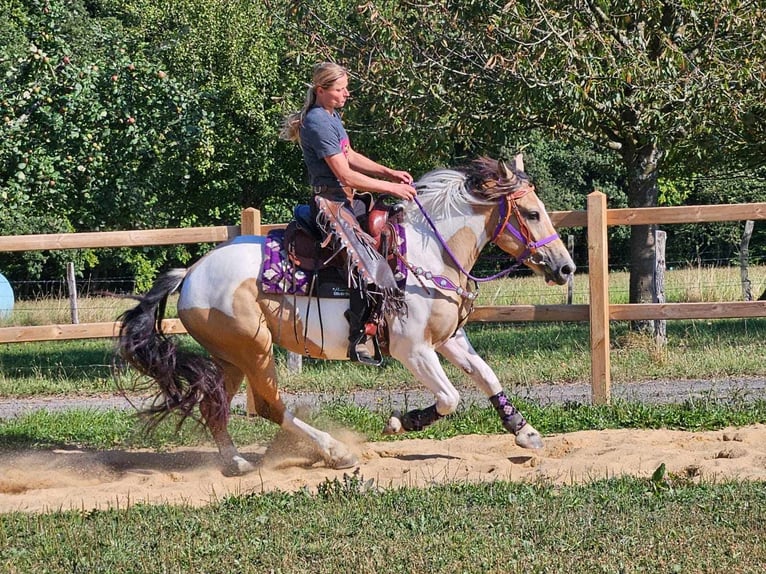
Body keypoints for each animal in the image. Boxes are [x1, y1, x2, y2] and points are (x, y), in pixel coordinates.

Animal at [117, 154, 576, 476]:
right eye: (532, 213)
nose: (566, 267)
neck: (429, 253)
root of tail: (191, 274)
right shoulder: (414, 349)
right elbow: (450, 397)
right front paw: (404, 421)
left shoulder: (450, 340)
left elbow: (486, 376)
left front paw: (525, 432)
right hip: (254, 350)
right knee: (268, 405)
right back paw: (335, 452)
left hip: (230, 359)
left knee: (215, 408)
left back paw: (236, 464)